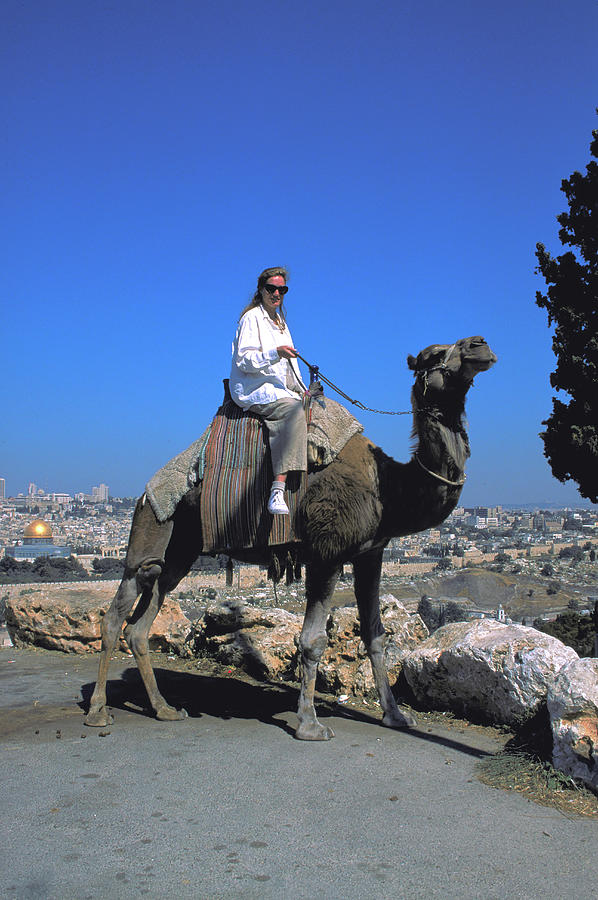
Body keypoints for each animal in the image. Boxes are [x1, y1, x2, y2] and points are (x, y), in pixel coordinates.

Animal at [84, 338, 496, 740]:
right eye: (435, 353)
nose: (481, 345)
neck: (388, 487)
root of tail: (145, 491)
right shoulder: (327, 552)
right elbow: (312, 640)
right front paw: (309, 723)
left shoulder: (370, 553)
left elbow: (376, 635)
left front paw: (395, 716)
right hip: (152, 527)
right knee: (118, 610)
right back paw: (99, 712)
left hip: (181, 550)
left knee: (143, 619)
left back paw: (165, 709)